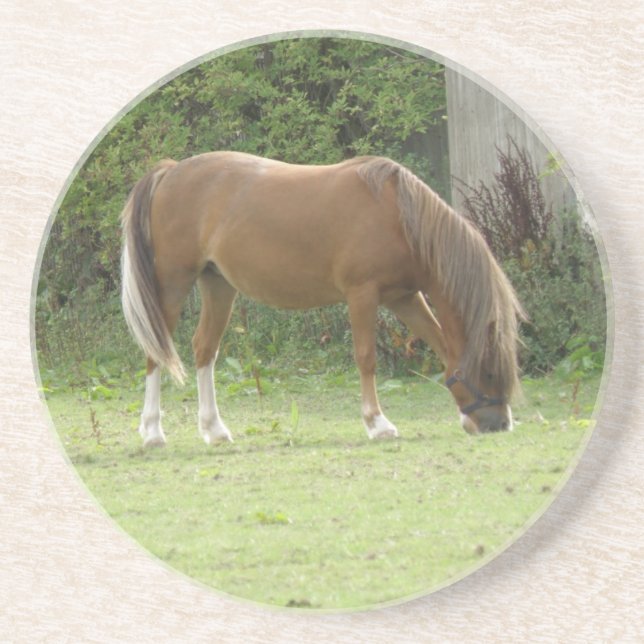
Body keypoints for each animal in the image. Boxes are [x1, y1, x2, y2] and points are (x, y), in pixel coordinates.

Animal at [121, 151, 523, 448]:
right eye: (490, 371)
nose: (499, 424)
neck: (399, 217)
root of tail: (171, 172)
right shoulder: (363, 295)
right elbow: (366, 358)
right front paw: (378, 424)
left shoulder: (405, 298)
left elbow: (440, 344)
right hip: (173, 283)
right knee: (156, 351)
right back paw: (153, 432)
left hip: (217, 285)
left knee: (205, 348)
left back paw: (214, 430)